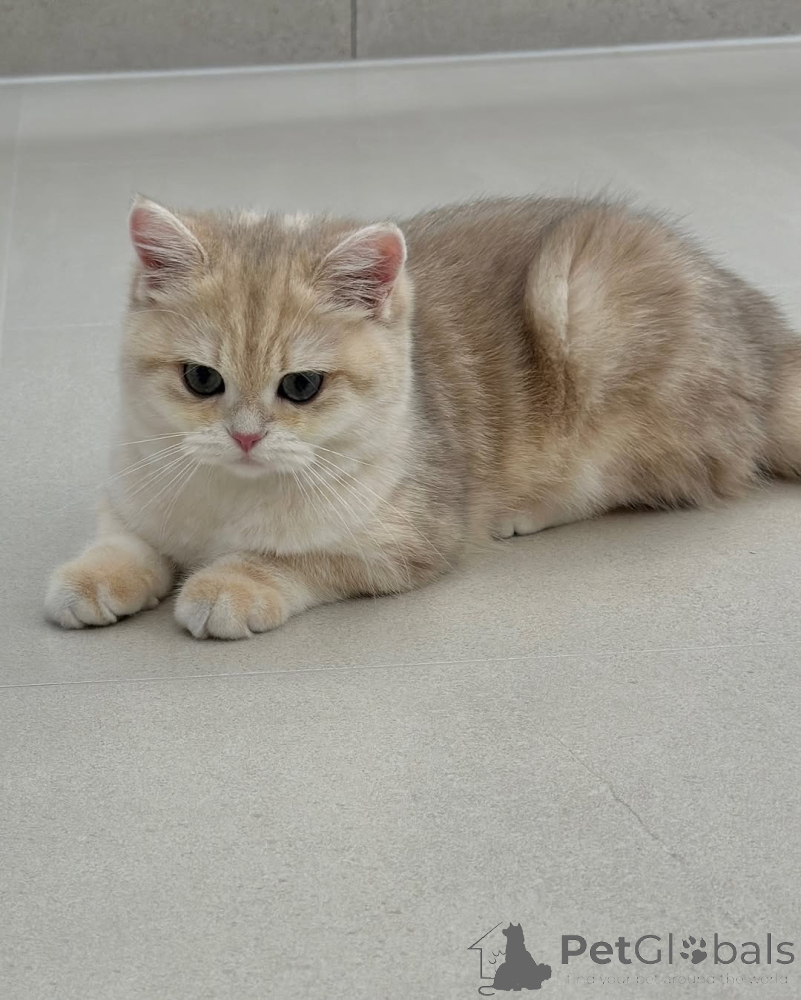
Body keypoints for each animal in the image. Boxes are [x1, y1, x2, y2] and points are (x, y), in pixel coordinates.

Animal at [45, 194, 801, 639]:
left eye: (301, 387)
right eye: (202, 379)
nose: (246, 435)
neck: (228, 500)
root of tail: (763, 328)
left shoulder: (403, 543)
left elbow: (295, 558)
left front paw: (232, 581)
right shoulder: (133, 491)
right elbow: (123, 541)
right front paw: (94, 577)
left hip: (584, 313)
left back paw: (526, 510)